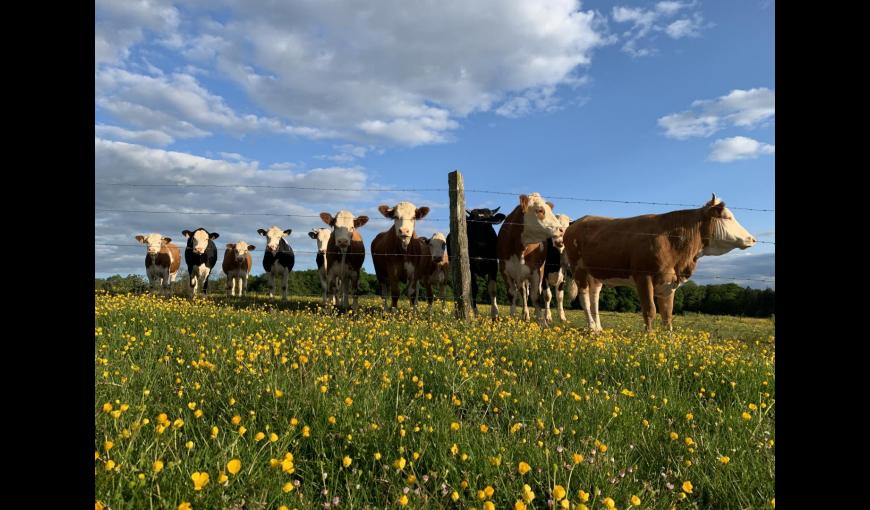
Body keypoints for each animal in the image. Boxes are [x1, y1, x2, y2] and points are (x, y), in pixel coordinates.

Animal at [498, 193, 564, 324]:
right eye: (540, 210)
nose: (561, 229)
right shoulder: (504, 271)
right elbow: (512, 295)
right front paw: (511, 318)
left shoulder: (536, 272)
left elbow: (536, 296)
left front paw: (542, 322)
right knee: (524, 293)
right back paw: (525, 314)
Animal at [564, 193, 756, 332]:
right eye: (728, 217)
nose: (752, 239)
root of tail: (578, 221)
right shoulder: (643, 276)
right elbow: (650, 310)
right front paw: (649, 338)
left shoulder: (669, 281)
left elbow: (667, 314)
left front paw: (668, 340)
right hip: (578, 268)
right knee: (584, 297)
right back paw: (591, 328)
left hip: (595, 273)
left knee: (594, 297)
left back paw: (599, 328)